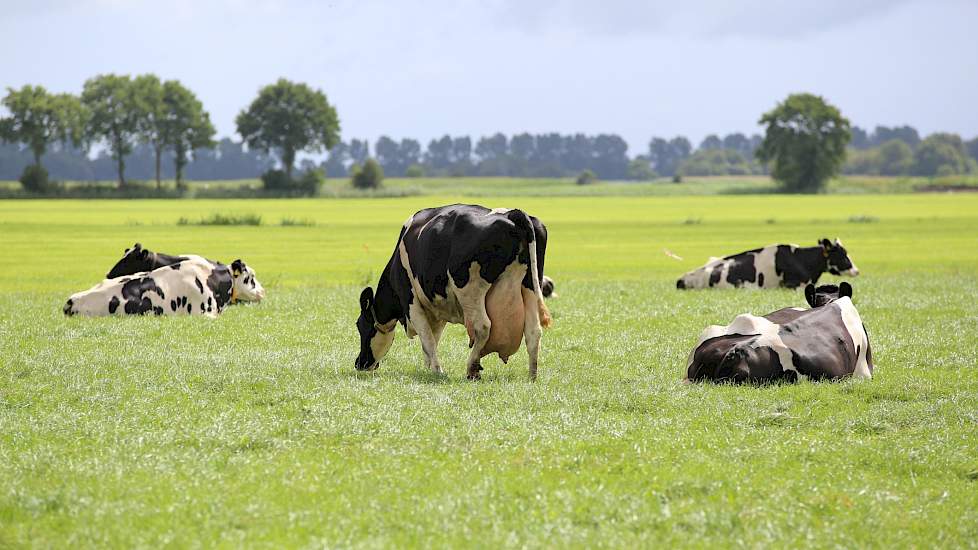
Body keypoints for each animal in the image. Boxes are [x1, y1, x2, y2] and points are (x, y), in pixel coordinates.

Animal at [352, 205, 552, 382]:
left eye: (361, 326)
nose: (359, 363)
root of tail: (512, 213)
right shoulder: (436, 310)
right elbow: (433, 339)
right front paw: (429, 368)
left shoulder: (411, 302)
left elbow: (427, 338)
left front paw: (437, 371)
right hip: (530, 286)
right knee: (533, 331)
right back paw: (532, 376)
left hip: (470, 289)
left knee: (483, 326)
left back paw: (472, 369)